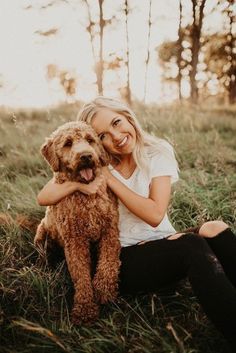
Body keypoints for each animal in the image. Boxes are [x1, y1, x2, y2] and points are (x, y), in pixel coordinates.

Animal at [34, 121, 121, 324]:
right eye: (68, 143)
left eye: (90, 140)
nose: (86, 156)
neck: (88, 197)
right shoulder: (75, 240)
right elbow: (80, 274)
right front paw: (85, 309)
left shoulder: (110, 231)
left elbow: (108, 261)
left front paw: (103, 289)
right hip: (42, 235)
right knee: (44, 255)